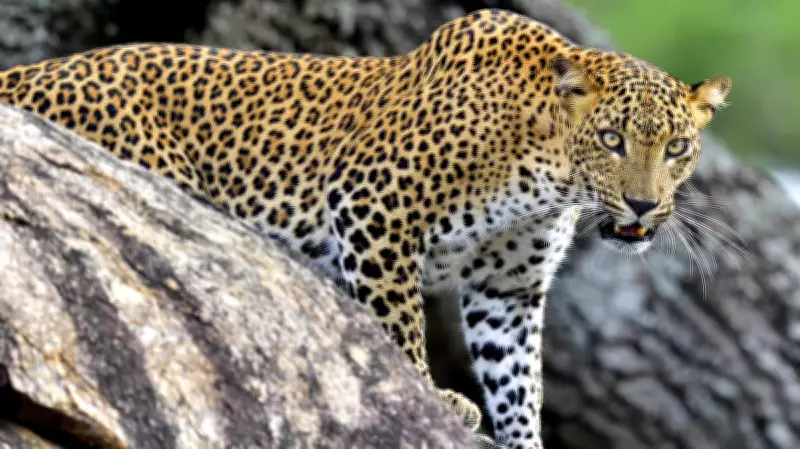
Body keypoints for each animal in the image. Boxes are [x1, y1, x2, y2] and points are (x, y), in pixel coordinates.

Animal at [0, 8, 730, 449]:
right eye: (611, 140)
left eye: (677, 148)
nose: (643, 206)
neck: (546, 172)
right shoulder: (377, 209)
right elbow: (399, 327)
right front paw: (434, 400)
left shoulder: (508, 288)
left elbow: (519, 379)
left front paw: (518, 436)